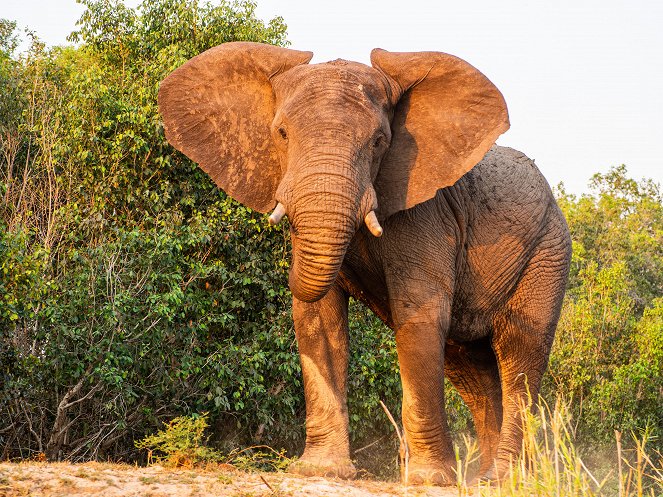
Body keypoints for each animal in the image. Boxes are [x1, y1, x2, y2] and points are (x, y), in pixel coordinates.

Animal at [157, 42, 572, 484]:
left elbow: (418, 314)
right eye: (281, 133)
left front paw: (427, 480)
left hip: (547, 253)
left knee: (519, 355)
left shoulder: (427, 212)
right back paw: (484, 480)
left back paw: (508, 479)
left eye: (378, 141)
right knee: (470, 369)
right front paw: (321, 470)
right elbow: (319, 319)